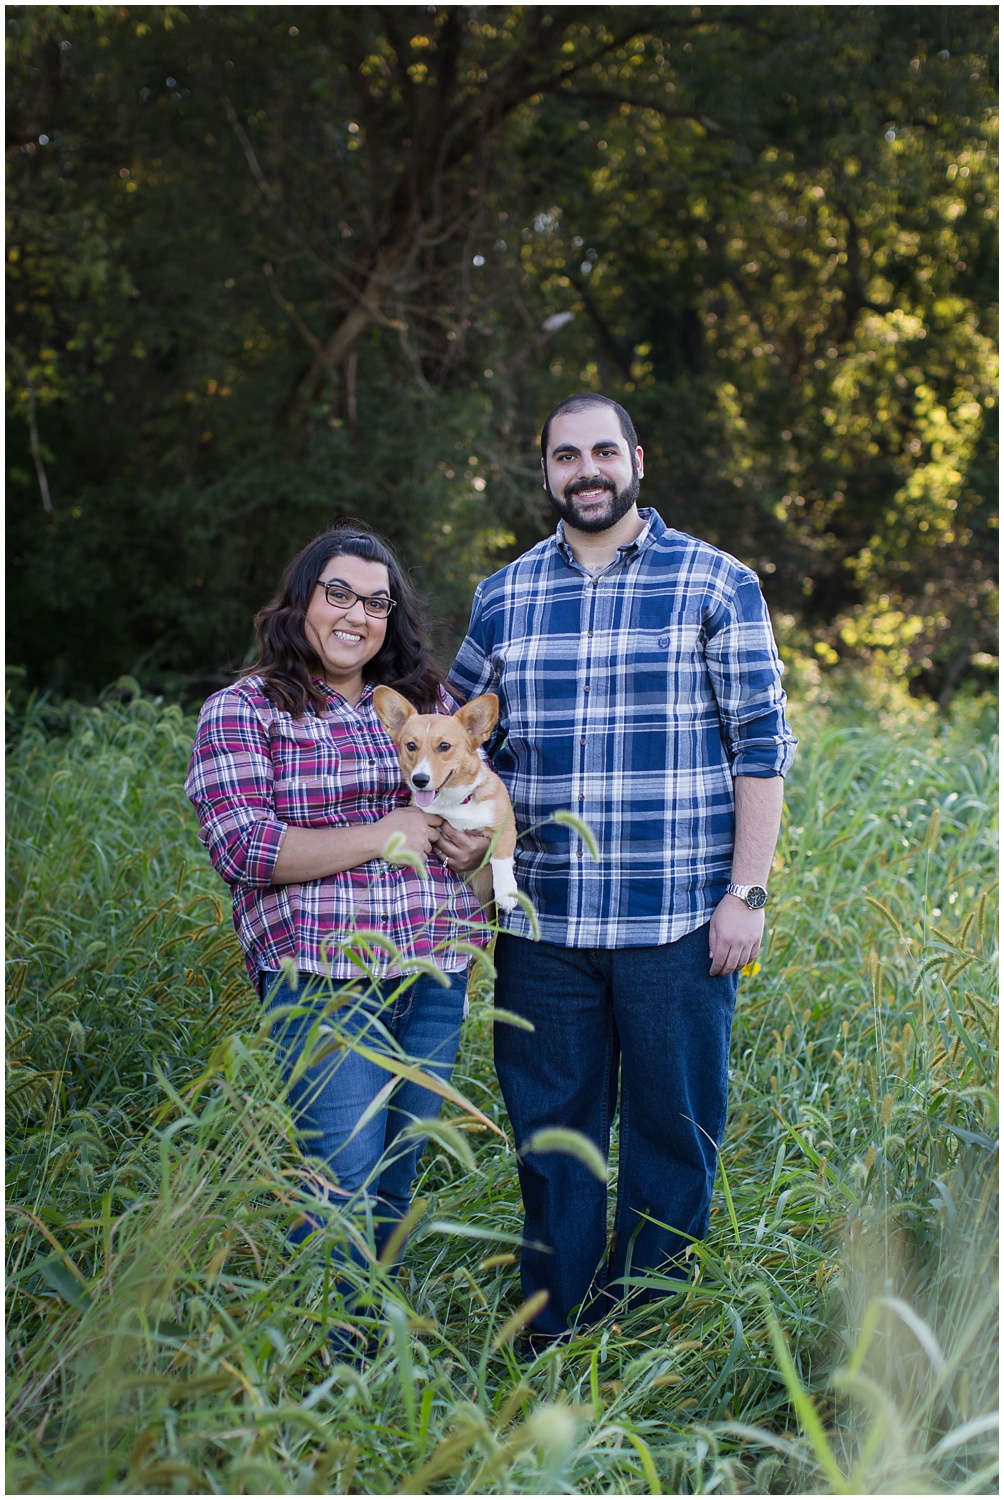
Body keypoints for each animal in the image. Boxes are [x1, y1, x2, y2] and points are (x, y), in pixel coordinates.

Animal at [373, 687, 522, 906]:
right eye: (411, 746)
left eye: (444, 746)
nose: (419, 780)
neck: (454, 802)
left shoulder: (504, 824)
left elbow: (501, 856)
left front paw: (506, 893)